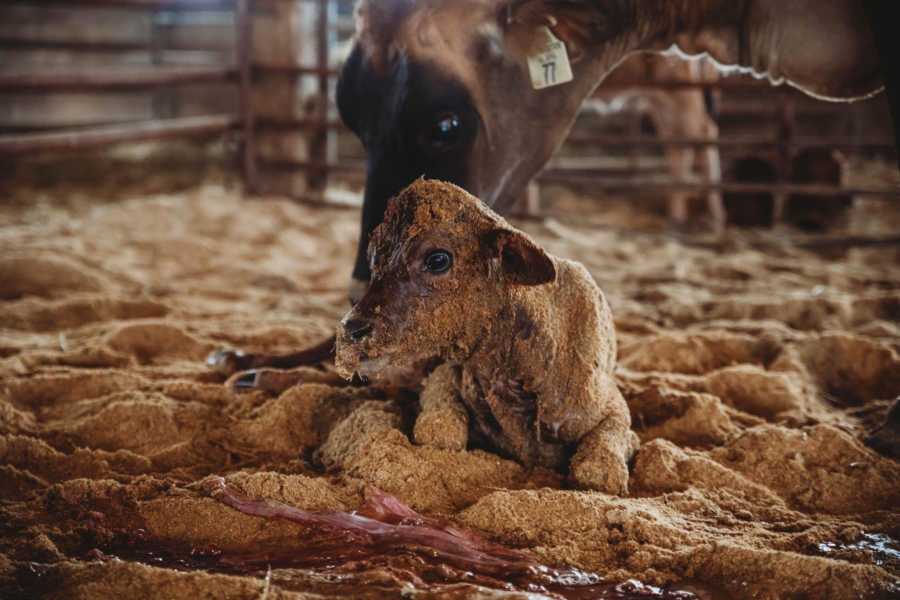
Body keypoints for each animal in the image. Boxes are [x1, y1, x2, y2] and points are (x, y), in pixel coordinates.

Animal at [334, 179, 636, 492]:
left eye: (438, 259)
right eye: (373, 257)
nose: (351, 329)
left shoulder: (612, 406)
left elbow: (597, 472)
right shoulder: (444, 374)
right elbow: (438, 432)